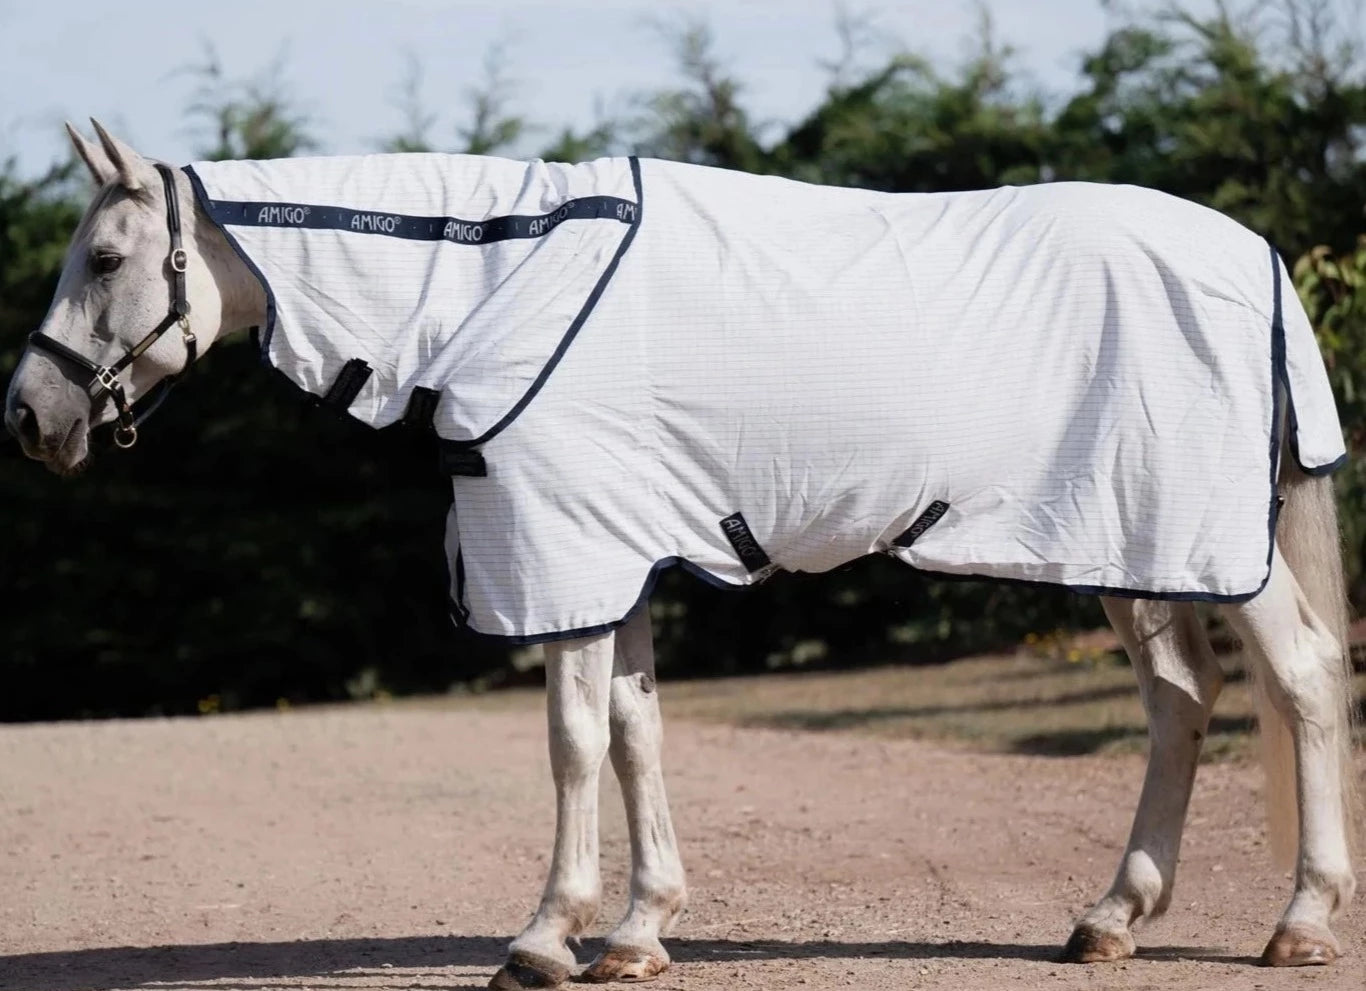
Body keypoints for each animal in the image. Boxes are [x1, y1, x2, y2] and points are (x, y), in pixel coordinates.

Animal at [4, 121, 1358, 987]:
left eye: (107, 260)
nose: (28, 415)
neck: (501, 275)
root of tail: (1251, 254)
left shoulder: (561, 545)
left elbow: (569, 738)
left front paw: (545, 936)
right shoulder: (612, 550)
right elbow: (634, 731)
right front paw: (639, 930)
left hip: (1180, 537)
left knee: (1297, 674)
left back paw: (1300, 920)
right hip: (1124, 540)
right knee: (1182, 697)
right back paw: (1111, 918)